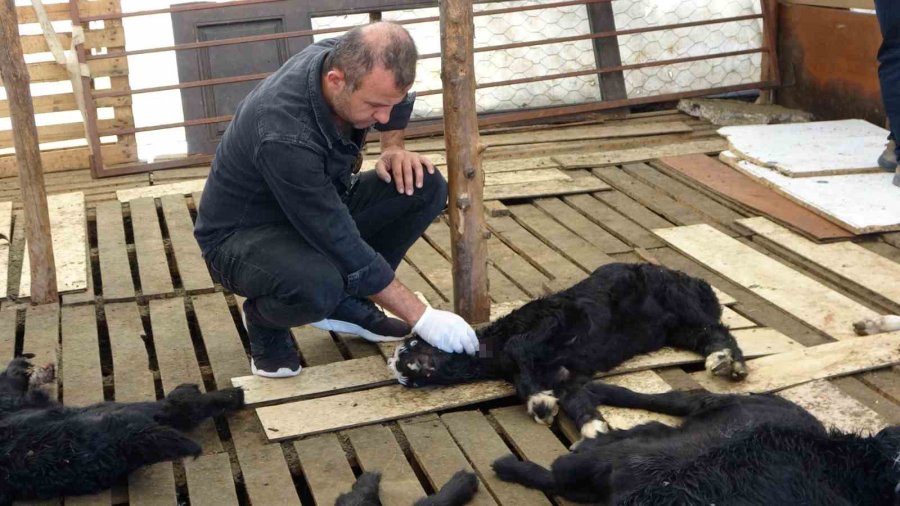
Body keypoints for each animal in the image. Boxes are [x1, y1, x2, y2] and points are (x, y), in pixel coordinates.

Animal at [389, 262, 748, 440]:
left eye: (414, 343)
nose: (395, 363)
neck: (496, 345)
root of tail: (701, 285)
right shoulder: (565, 376)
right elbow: (575, 398)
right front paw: (592, 426)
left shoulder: (557, 319)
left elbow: (521, 349)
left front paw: (541, 404)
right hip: (677, 329)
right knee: (707, 334)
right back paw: (723, 361)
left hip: (679, 300)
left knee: (717, 329)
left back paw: (728, 364)